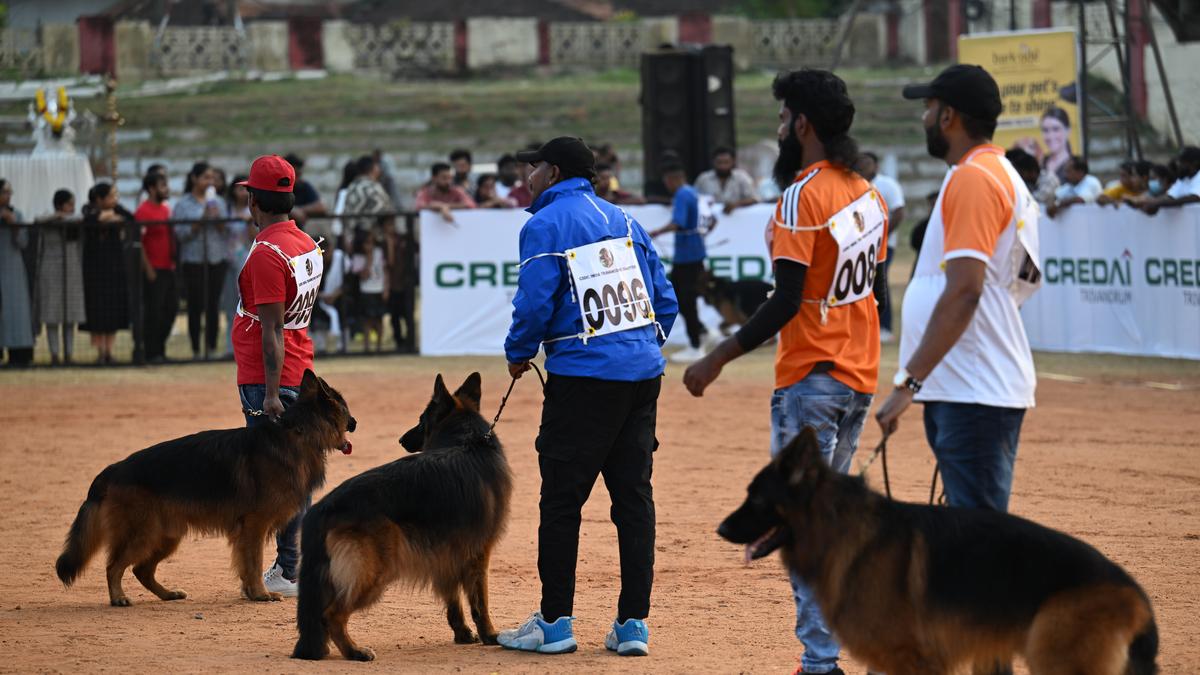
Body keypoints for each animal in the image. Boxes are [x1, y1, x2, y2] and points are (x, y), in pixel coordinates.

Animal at [56, 367, 352, 605]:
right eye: (346, 409)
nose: (355, 423)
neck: (297, 431)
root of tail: (113, 469)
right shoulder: (254, 527)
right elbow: (253, 562)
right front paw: (260, 594)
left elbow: (247, 565)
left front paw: (251, 592)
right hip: (143, 534)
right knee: (114, 566)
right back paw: (118, 597)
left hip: (165, 537)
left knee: (141, 570)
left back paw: (167, 594)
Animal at [292, 367, 513, 658]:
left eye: (420, 421)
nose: (401, 439)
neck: (469, 441)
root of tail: (321, 508)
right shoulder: (479, 554)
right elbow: (480, 603)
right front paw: (490, 635)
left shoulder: (447, 554)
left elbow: (453, 600)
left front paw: (463, 634)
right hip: (374, 573)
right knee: (331, 615)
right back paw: (355, 652)